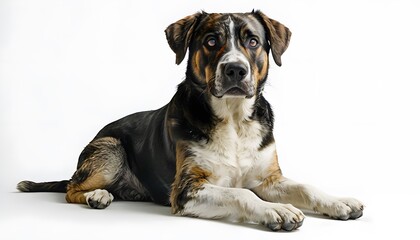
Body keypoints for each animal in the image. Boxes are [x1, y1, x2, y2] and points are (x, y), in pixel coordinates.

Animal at [18, 10, 362, 231]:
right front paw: (275, 209)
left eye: (252, 41)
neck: (234, 120)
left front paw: (339, 202)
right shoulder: (187, 189)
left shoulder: (269, 179)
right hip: (110, 148)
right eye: (211, 40)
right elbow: (241, 193)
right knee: (70, 188)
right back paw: (97, 195)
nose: (235, 70)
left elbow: (306, 187)